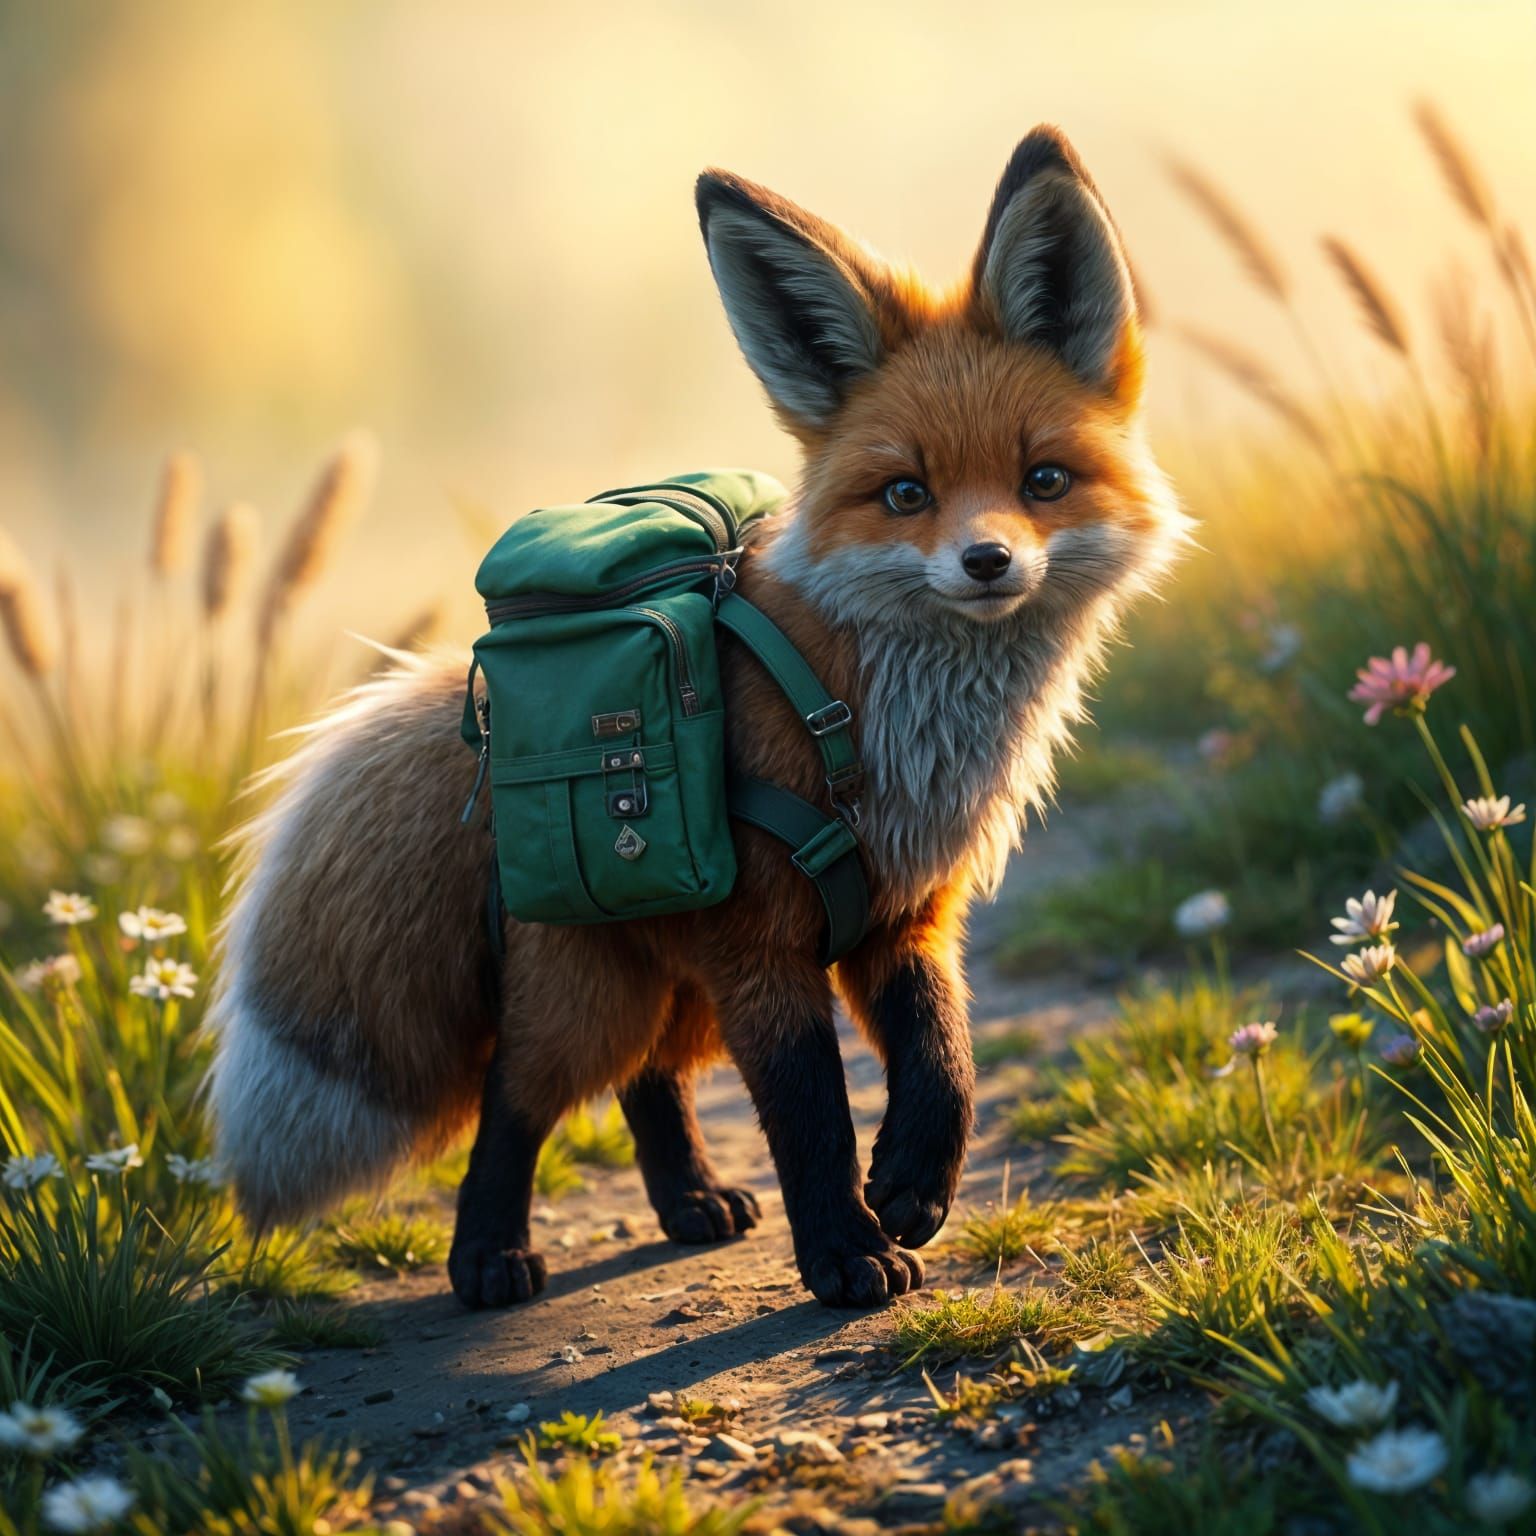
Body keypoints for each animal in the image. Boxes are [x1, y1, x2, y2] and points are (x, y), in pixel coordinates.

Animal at [207, 126, 1189, 1310]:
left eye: (1043, 480)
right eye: (906, 494)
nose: (988, 560)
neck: (851, 718)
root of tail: (489, 730)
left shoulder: (903, 917)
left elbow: (946, 1060)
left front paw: (912, 1183)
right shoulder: (762, 948)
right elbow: (811, 1116)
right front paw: (846, 1252)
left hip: (679, 988)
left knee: (648, 1085)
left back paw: (689, 1200)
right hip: (600, 998)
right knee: (516, 1100)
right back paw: (488, 1253)